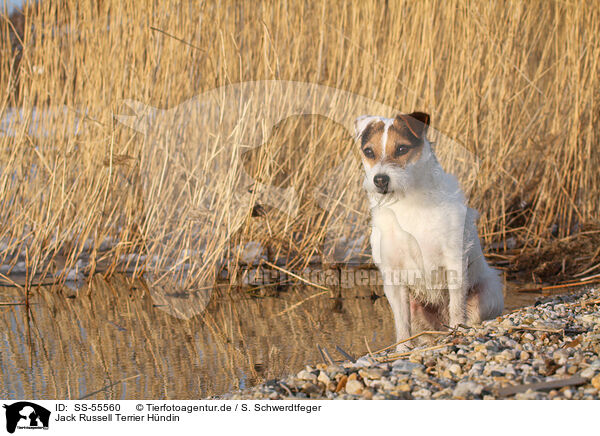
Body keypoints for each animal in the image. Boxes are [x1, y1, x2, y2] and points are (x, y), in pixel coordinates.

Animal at [354, 112, 504, 350]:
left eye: (401, 149)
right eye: (369, 151)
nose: (380, 180)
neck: (406, 203)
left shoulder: (454, 261)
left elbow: (456, 305)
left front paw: (457, 329)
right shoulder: (393, 276)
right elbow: (401, 323)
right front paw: (402, 349)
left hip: (488, 294)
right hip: (417, 308)